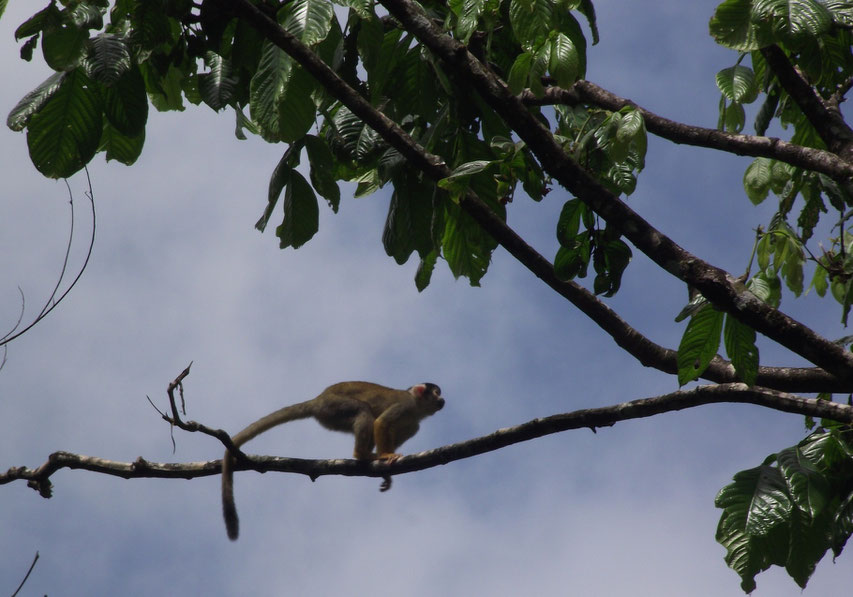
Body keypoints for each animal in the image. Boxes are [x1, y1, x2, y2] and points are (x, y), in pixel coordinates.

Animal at [220, 382, 446, 540]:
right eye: (436, 392)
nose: (442, 399)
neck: (416, 408)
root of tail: (317, 400)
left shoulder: (414, 425)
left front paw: (386, 474)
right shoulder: (404, 404)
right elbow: (381, 423)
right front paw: (385, 456)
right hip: (334, 407)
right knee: (363, 410)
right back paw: (361, 454)